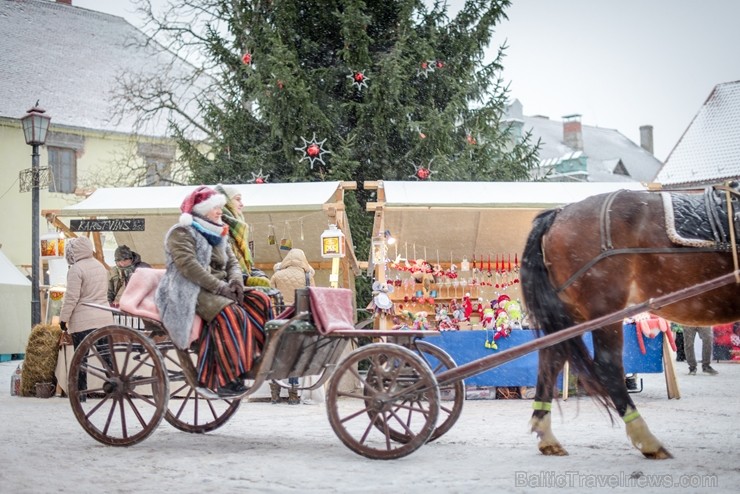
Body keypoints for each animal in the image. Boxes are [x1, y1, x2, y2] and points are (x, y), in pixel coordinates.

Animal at [520, 185, 740, 460]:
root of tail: (559, 214)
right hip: (604, 308)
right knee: (608, 367)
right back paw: (647, 439)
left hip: (570, 314)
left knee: (552, 359)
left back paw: (546, 435)